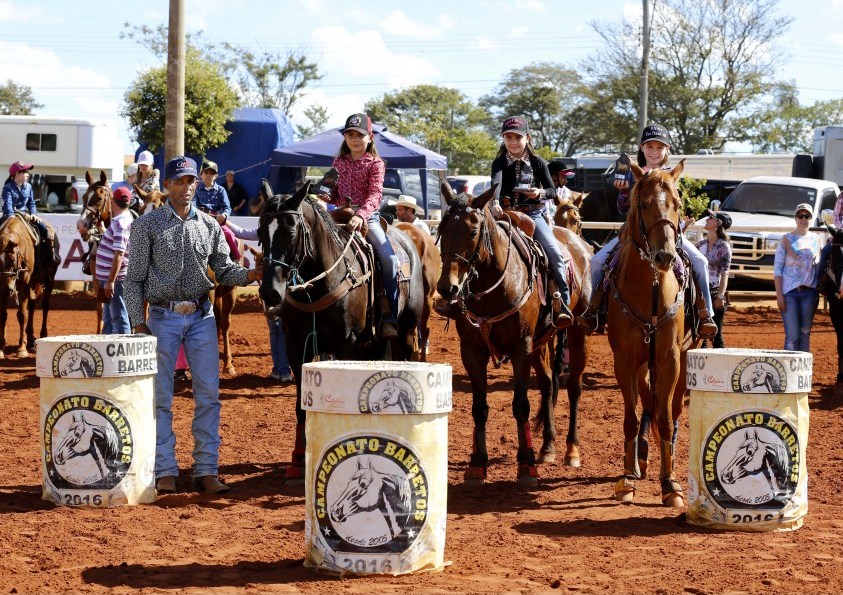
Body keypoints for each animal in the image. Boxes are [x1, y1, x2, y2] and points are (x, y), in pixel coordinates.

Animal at [0, 215, 59, 358]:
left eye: (12, 259)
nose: (8, 288)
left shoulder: (24, 284)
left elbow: (22, 315)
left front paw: (21, 349)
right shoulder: (1, 285)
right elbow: (3, 315)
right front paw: (1, 347)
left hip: (49, 281)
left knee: (45, 305)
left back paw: (43, 335)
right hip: (35, 283)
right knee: (32, 305)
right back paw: (31, 338)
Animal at [258, 180, 426, 484]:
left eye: (291, 230)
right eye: (260, 231)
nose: (270, 292)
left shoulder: (347, 345)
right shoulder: (295, 348)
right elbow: (301, 407)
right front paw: (297, 461)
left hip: (406, 331)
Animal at [438, 184, 592, 486]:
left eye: (473, 231)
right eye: (441, 228)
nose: (447, 288)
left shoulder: (522, 347)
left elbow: (521, 405)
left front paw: (526, 465)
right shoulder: (471, 351)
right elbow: (479, 407)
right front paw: (477, 464)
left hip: (576, 331)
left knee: (574, 386)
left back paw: (572, 450)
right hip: (542, 342)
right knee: (547, 384)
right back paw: (547, 447)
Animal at [608, 161, 700, 510]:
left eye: (677, 204)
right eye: (644, 204)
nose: (665, 257)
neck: (651, 288)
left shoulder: (670, 358)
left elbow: (666, 418)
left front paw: (670, 484)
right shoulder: (624, 361)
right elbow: (632, 418)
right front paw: (627, 479)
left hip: (683, 360)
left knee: (670, 408)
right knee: (648, 401)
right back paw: (641, 459)